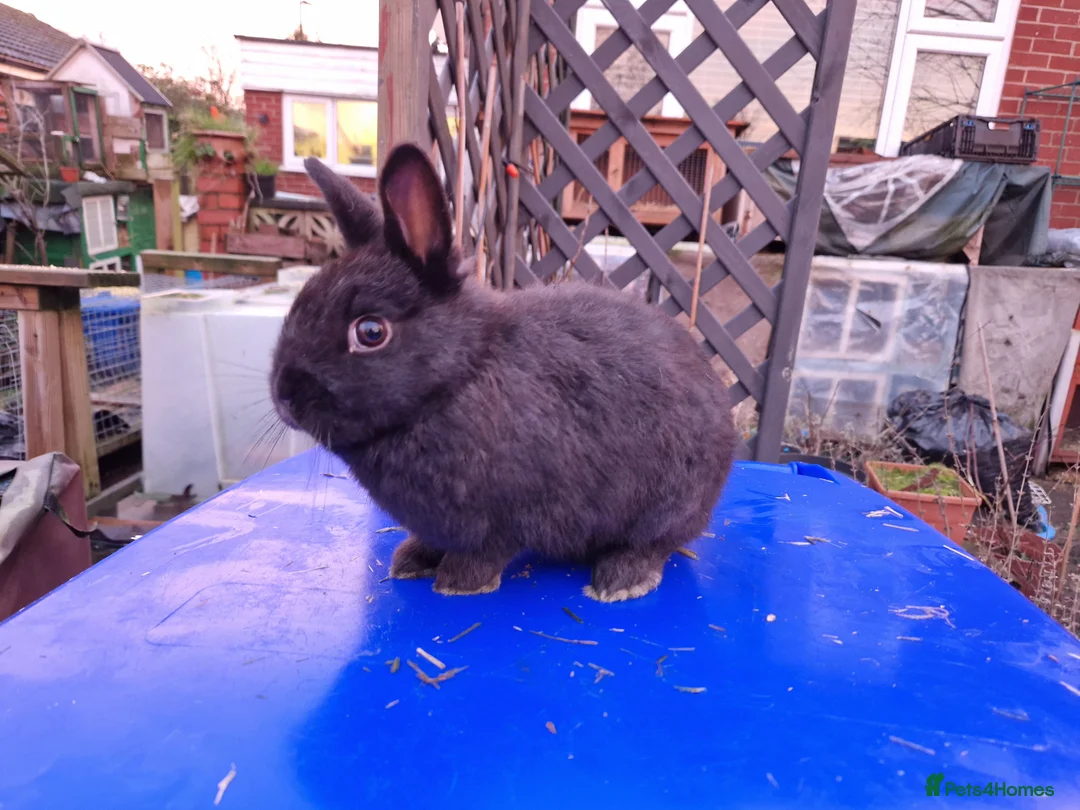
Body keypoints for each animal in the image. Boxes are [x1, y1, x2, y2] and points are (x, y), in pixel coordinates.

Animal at [270, 142, 737, 602]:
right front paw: (411, 560)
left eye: (370, 332)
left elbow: (488, 550)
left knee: (656, 544)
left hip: (670, 504)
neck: (459, 377)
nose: (284, 398)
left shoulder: (507, 514)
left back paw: (621, 579)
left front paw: (459, 582)